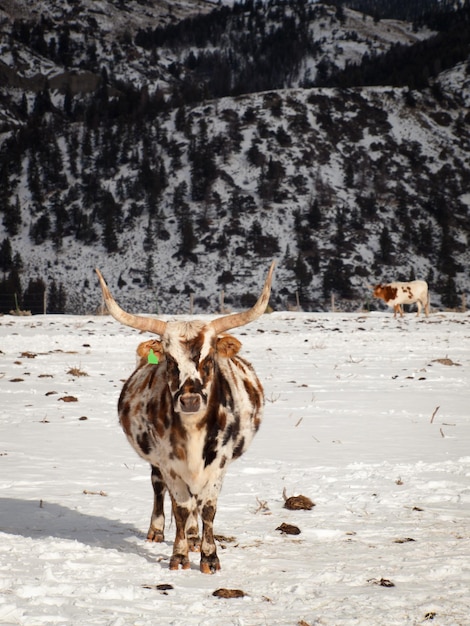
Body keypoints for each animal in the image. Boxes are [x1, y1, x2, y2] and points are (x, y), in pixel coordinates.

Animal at [96, 260, 276, 572]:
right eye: (170, 360)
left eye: (208, 359)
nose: (190, 399)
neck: (193, 433)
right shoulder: (169, 462)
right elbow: (180, 507)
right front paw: (179, 555)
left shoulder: (218, 463)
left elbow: (207, 509)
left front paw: (209, 556)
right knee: (160, 490)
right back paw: (160, 531)